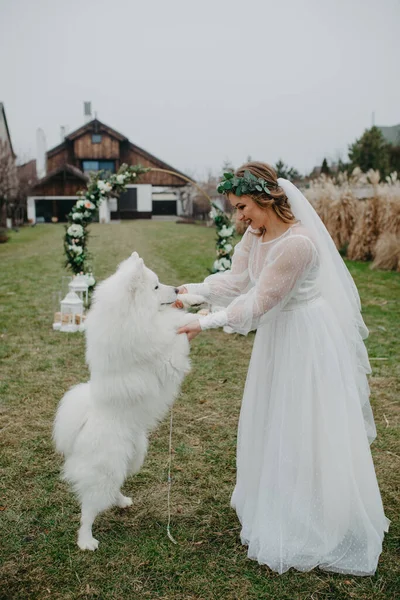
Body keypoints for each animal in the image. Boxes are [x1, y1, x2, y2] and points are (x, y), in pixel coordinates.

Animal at [54, 251, 203, 552]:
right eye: (156, 287)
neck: (133, 317)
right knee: (89, 507)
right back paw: (86, 540)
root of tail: (83, 425)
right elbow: (175, 330)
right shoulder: (165, 353)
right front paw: (193, 318)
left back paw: (121, 501)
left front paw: (195, 300)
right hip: (107, 467)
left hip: (133, 457)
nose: (176, 289)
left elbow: (176, 314)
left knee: (113, 488)